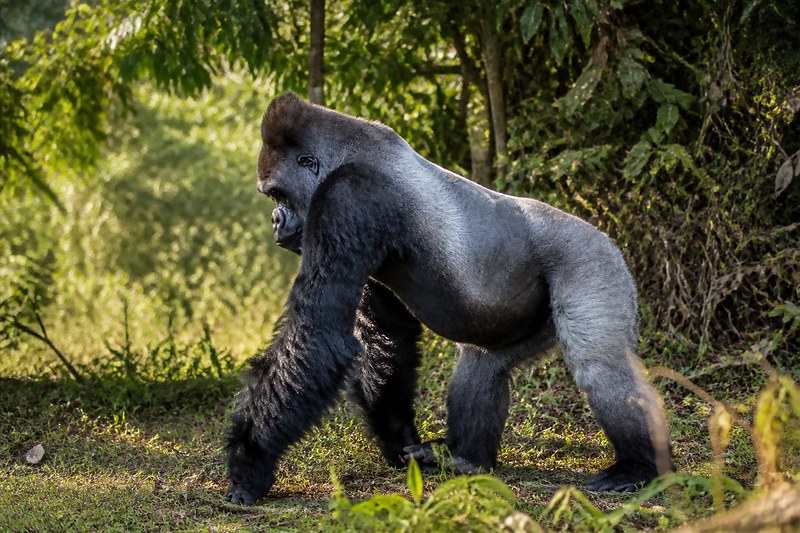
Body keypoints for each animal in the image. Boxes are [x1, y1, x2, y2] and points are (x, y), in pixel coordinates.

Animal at [224, 91, 672, 505]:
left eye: (277, 195)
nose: (275, 222)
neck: (346, 155)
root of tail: (606, 237)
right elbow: (386, 337)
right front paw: (399, 440)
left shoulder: (346, 199)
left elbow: (319, 334)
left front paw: (249, 461)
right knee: (485, 366)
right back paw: (467, 461)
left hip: (591, 260)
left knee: (600, 366)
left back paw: (638, 466)